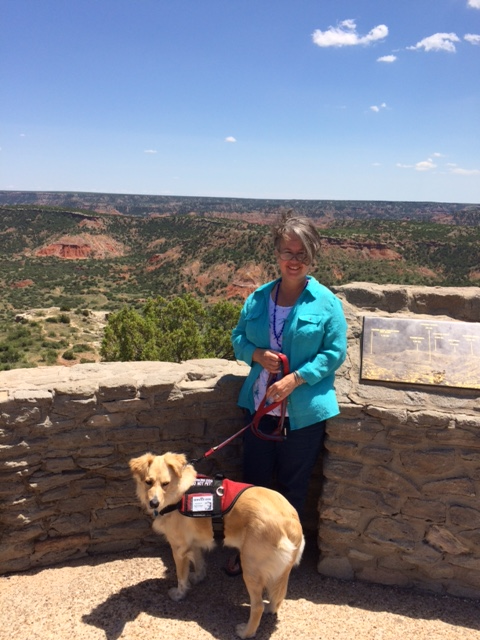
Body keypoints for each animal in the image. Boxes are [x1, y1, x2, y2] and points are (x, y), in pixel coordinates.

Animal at [129, 452, 306, 636]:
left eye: (165, 483)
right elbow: (199, 562)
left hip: (251, 568)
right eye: (148, 482)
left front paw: (179, 594)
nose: (154, 503)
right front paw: (198, 577)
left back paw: (246, 632)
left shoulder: (179, 548)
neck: (177, 495)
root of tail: (292, 521)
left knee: (257, 607)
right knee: (276, 597)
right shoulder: (194, 543)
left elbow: (181, 576)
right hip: (278, 572)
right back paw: (270, 609)